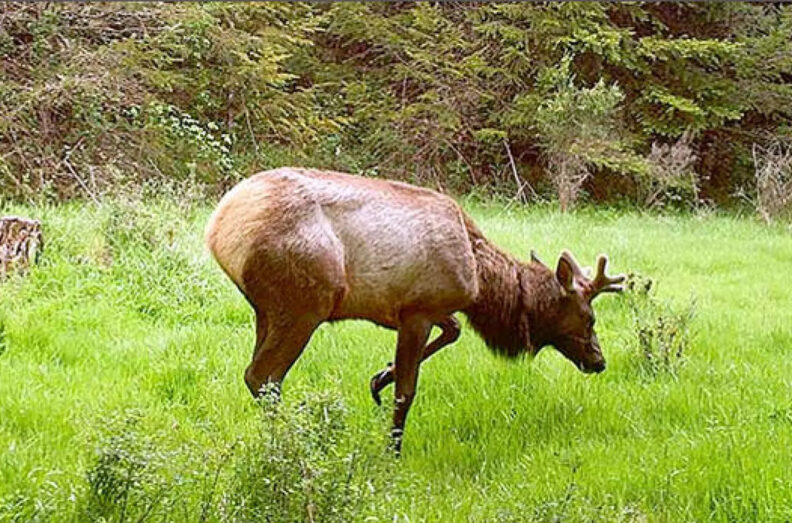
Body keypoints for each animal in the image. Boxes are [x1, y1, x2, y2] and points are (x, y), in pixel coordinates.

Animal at [206, 167, 625, 454]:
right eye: (589, 317)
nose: (599, 361)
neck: (482, 282)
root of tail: (218, 229)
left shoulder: (422, 309)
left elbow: (453, 329)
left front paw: (379, 376)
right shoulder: (419, 311)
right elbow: (406, 393)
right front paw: (392, 450)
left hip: (266, 311)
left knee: (258, 374)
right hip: (304, 304)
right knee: (263, 376)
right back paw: (290, 445)